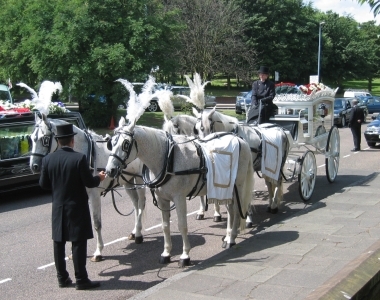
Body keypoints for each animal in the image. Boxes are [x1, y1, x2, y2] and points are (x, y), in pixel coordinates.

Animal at [107, 77, 254, 268]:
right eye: (111, 142)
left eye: (125, 144)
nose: (110, 170)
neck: (167, 158)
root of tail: (240, 140)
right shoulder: (163, 199)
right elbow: (165, 226)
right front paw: (166, 253)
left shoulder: (179, 197)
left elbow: (182, 225)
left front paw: (185, 255)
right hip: (226, 187)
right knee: (230, 209)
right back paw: (229, 236)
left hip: (239, 184)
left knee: (236, 208)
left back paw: (231, 238)